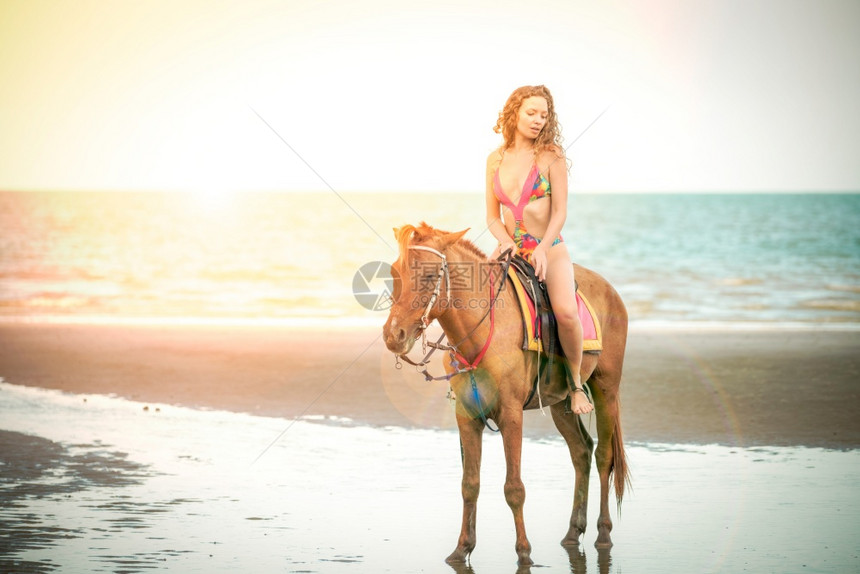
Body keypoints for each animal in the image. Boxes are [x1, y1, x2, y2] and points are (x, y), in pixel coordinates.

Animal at [382, 223, 632, 568]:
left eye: (431, 276)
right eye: (395, 272)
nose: (393, 336)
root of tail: (610, 290)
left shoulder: (511, 415)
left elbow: (514, 488)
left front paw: (524, 552)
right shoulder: (466, 417)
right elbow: (469, 484)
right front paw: (462, 548)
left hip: (606, 388)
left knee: (604, 457)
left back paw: (603, 533)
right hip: (562, 403)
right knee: (581, 452)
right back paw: (572, 532)